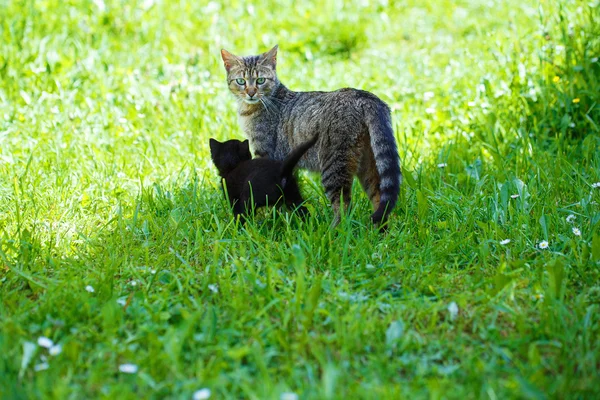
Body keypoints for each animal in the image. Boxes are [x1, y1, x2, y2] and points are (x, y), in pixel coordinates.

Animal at [220, 44, 404, 228]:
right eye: (241, 81)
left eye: (260, 81)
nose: (251, 92)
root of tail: (365, 97)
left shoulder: (266, 154)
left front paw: (270, 220)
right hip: (369, 164)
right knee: (380, 200)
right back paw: (380, 231)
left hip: (333, 165)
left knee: (343, 206)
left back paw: (334, 230)